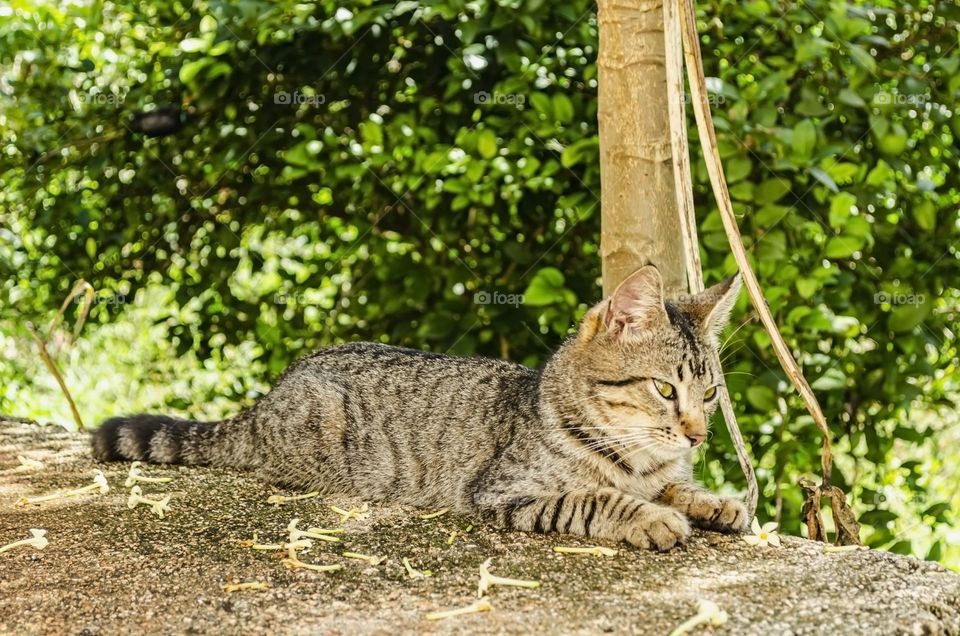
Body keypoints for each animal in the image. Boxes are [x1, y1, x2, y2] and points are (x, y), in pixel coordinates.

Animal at [92, 266, 752, 548]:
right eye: (664, 390)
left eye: (710, 394)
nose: (698, 436)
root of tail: (266, 398)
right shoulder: (506, 491)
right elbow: (595, 499)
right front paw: (652, 518)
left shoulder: (661, 471)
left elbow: (676, 487)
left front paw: (714, 502)